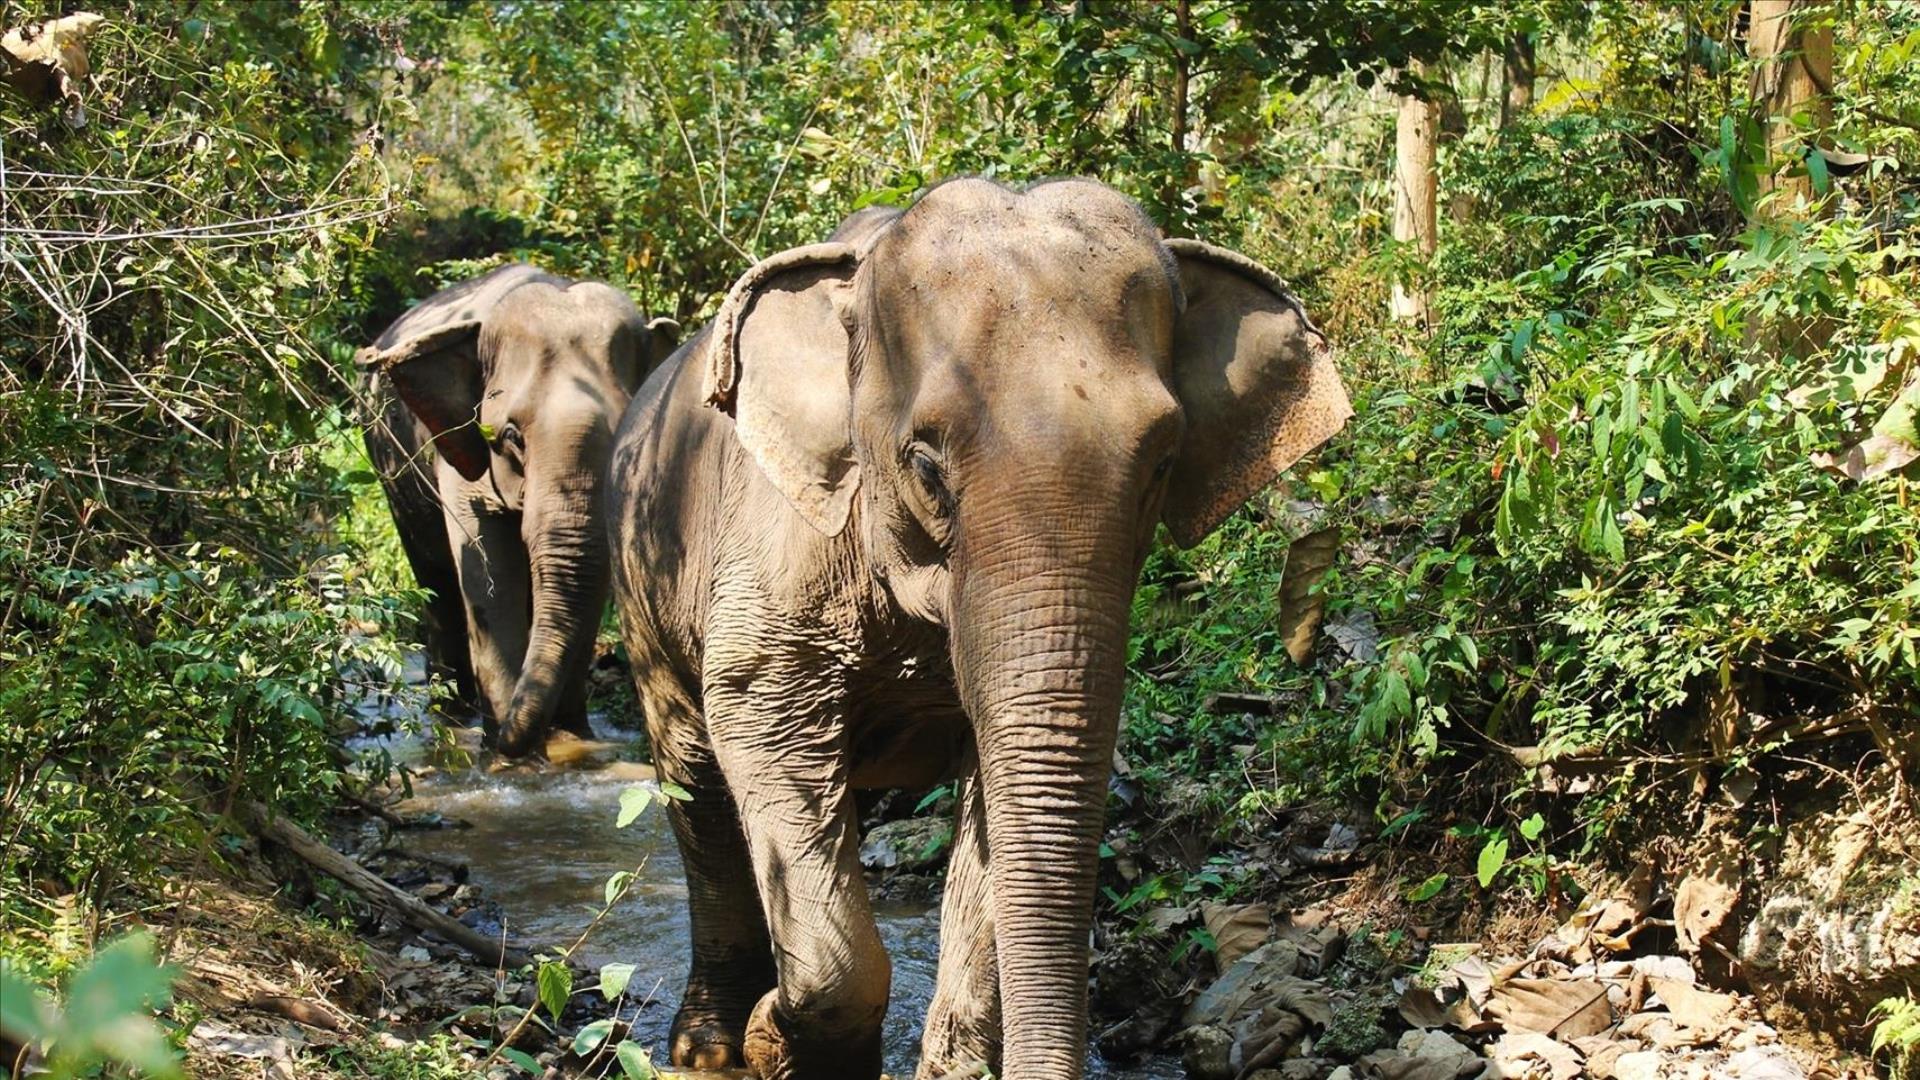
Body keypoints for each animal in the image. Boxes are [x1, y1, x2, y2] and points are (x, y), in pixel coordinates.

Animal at [360, 264, 679, 757]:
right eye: (511, 435)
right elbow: (488, 570)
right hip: (388, 465)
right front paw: (510, 758)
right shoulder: (461, 448)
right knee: (436, 578)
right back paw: (451, 713)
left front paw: (569, 740)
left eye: (628, 425)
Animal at [605, 178, 1351, 1080]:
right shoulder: (771, 561)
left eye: (1164, 464)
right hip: (644, 588)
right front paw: (772, 1036)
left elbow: (998, 789)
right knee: (696, 783)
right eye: (926, 466)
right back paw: (709, 1044)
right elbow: (760, 722)